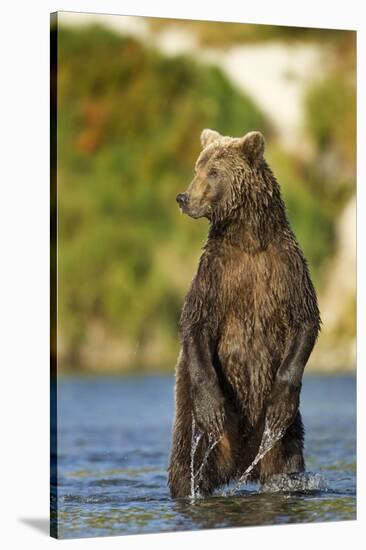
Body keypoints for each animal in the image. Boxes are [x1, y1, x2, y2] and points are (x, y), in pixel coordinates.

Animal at [169, 129, 320, 500]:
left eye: (212, 172)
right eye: (197, 167)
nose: (183, 197)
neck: (248, 238)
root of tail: (237, 469)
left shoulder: (286, 268)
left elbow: (305, 320)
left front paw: (281, 404)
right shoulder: (215, 274)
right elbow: (195, 322)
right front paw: (213, 408)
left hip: (283, 441)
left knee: (285, 460)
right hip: (191, 418)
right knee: (186, 465)